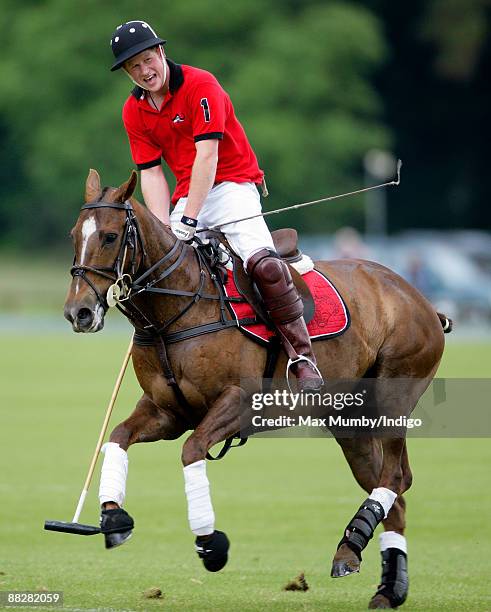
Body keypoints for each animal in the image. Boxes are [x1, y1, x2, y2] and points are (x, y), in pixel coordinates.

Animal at [66, 170, 454, 608]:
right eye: (74, 235)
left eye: (111, 236)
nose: (79, 313)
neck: (177, 309)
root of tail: (418, 298)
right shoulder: (168, 411)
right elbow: (117, 436)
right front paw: (113, 517)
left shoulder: (237, 402)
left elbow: (192, 450)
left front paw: (210, 543)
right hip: (348, 418)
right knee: (395, 491)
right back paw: (385, 584)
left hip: (394, 393)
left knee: (395, 476)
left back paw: (352, 547)